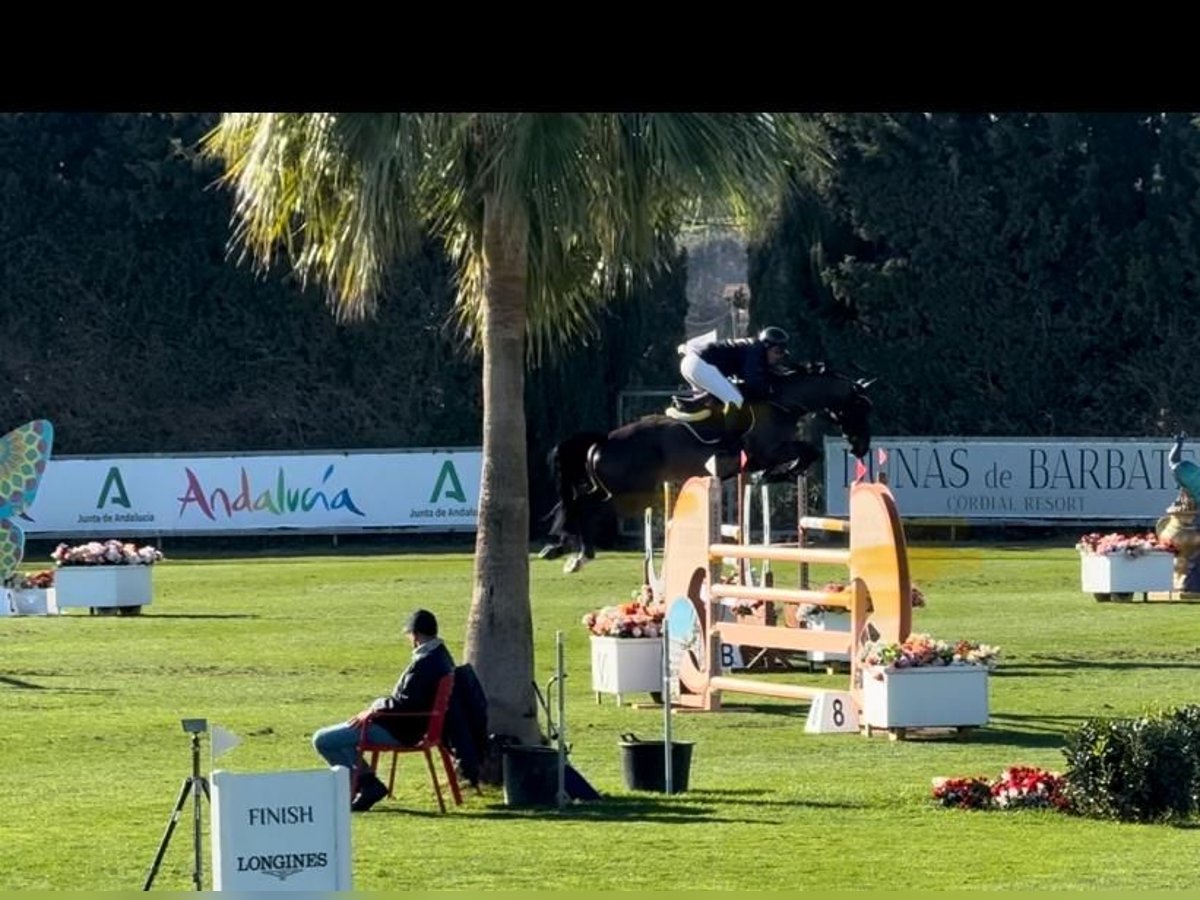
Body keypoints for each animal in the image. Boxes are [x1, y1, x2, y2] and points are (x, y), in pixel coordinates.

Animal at [542, 362, 873, 573]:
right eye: (861, 407)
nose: (861, 447)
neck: (781, 401)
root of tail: (604, 440)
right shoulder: (768, 451)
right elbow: (807, 452)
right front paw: (777, 474)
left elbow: (808, 453)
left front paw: (780, 474)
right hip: (631, 494)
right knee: (586, 507)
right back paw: (581, 556)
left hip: (616, 489)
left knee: (576, 503)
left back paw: (562, 547)